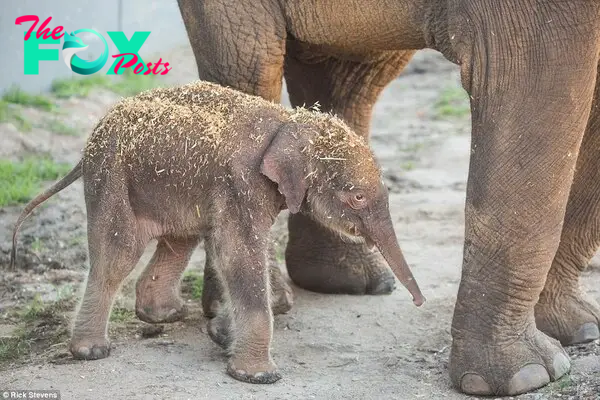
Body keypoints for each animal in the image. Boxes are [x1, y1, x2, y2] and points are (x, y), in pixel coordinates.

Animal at [9, 79, 424, 382]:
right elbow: (238, 253)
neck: (289, 122)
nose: (419, 303)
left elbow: (240, 252)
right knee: (117, 255)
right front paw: (258, 376)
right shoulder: (242, 183)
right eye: (356, 197)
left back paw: (165, 315)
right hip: (111, 180)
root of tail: (88, 145)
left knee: (179, 241)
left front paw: (222, 335)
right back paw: (92, 352)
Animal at [176, 0, 596, 394]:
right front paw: (525, 378)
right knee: (250, 69)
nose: (418, 302)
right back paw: (253, 313)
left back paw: (345, 281)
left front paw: (579, 330)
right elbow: (539, 79)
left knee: (345, 76)